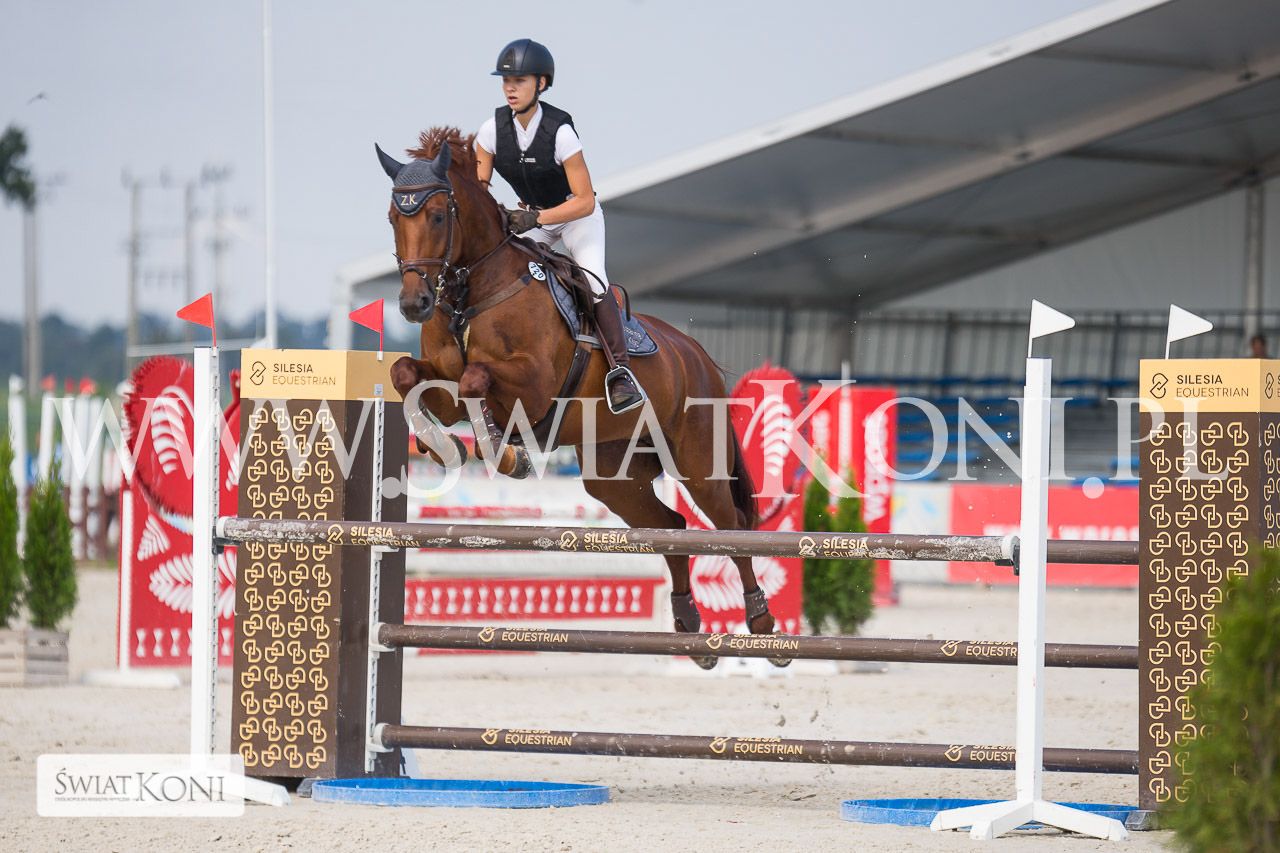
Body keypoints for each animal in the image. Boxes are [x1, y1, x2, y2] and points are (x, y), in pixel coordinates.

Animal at [378, 127, 786, 668]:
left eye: (439, 215)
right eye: (392, 218)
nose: (413, 304)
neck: (476, 291)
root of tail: (697, 355)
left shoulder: (533, 385)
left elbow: (476, 380)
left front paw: (506, 454)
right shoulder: (444, 380)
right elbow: (409, 374)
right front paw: (437, 444)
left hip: (699, 461)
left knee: (730, 525)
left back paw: (761, 622)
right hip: (613, 475)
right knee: (672, 526)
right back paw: (689, 626)